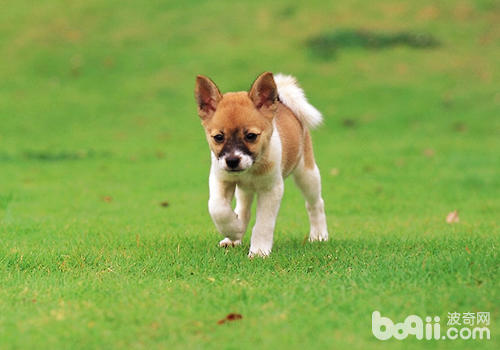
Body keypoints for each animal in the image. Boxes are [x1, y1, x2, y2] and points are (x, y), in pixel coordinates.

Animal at [194, 72, 328, 258]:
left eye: (251, 136)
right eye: (218, 137)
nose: (232, 161)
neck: (252, 168)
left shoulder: (271, 190)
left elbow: (264, 223)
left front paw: (259, 250)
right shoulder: (221, 179)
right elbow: (217, 208)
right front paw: (234, 230)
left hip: (307, 174)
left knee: (315, 204)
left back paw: (319, 234)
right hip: (244, 190)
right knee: (243, 210)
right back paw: (234, 236)